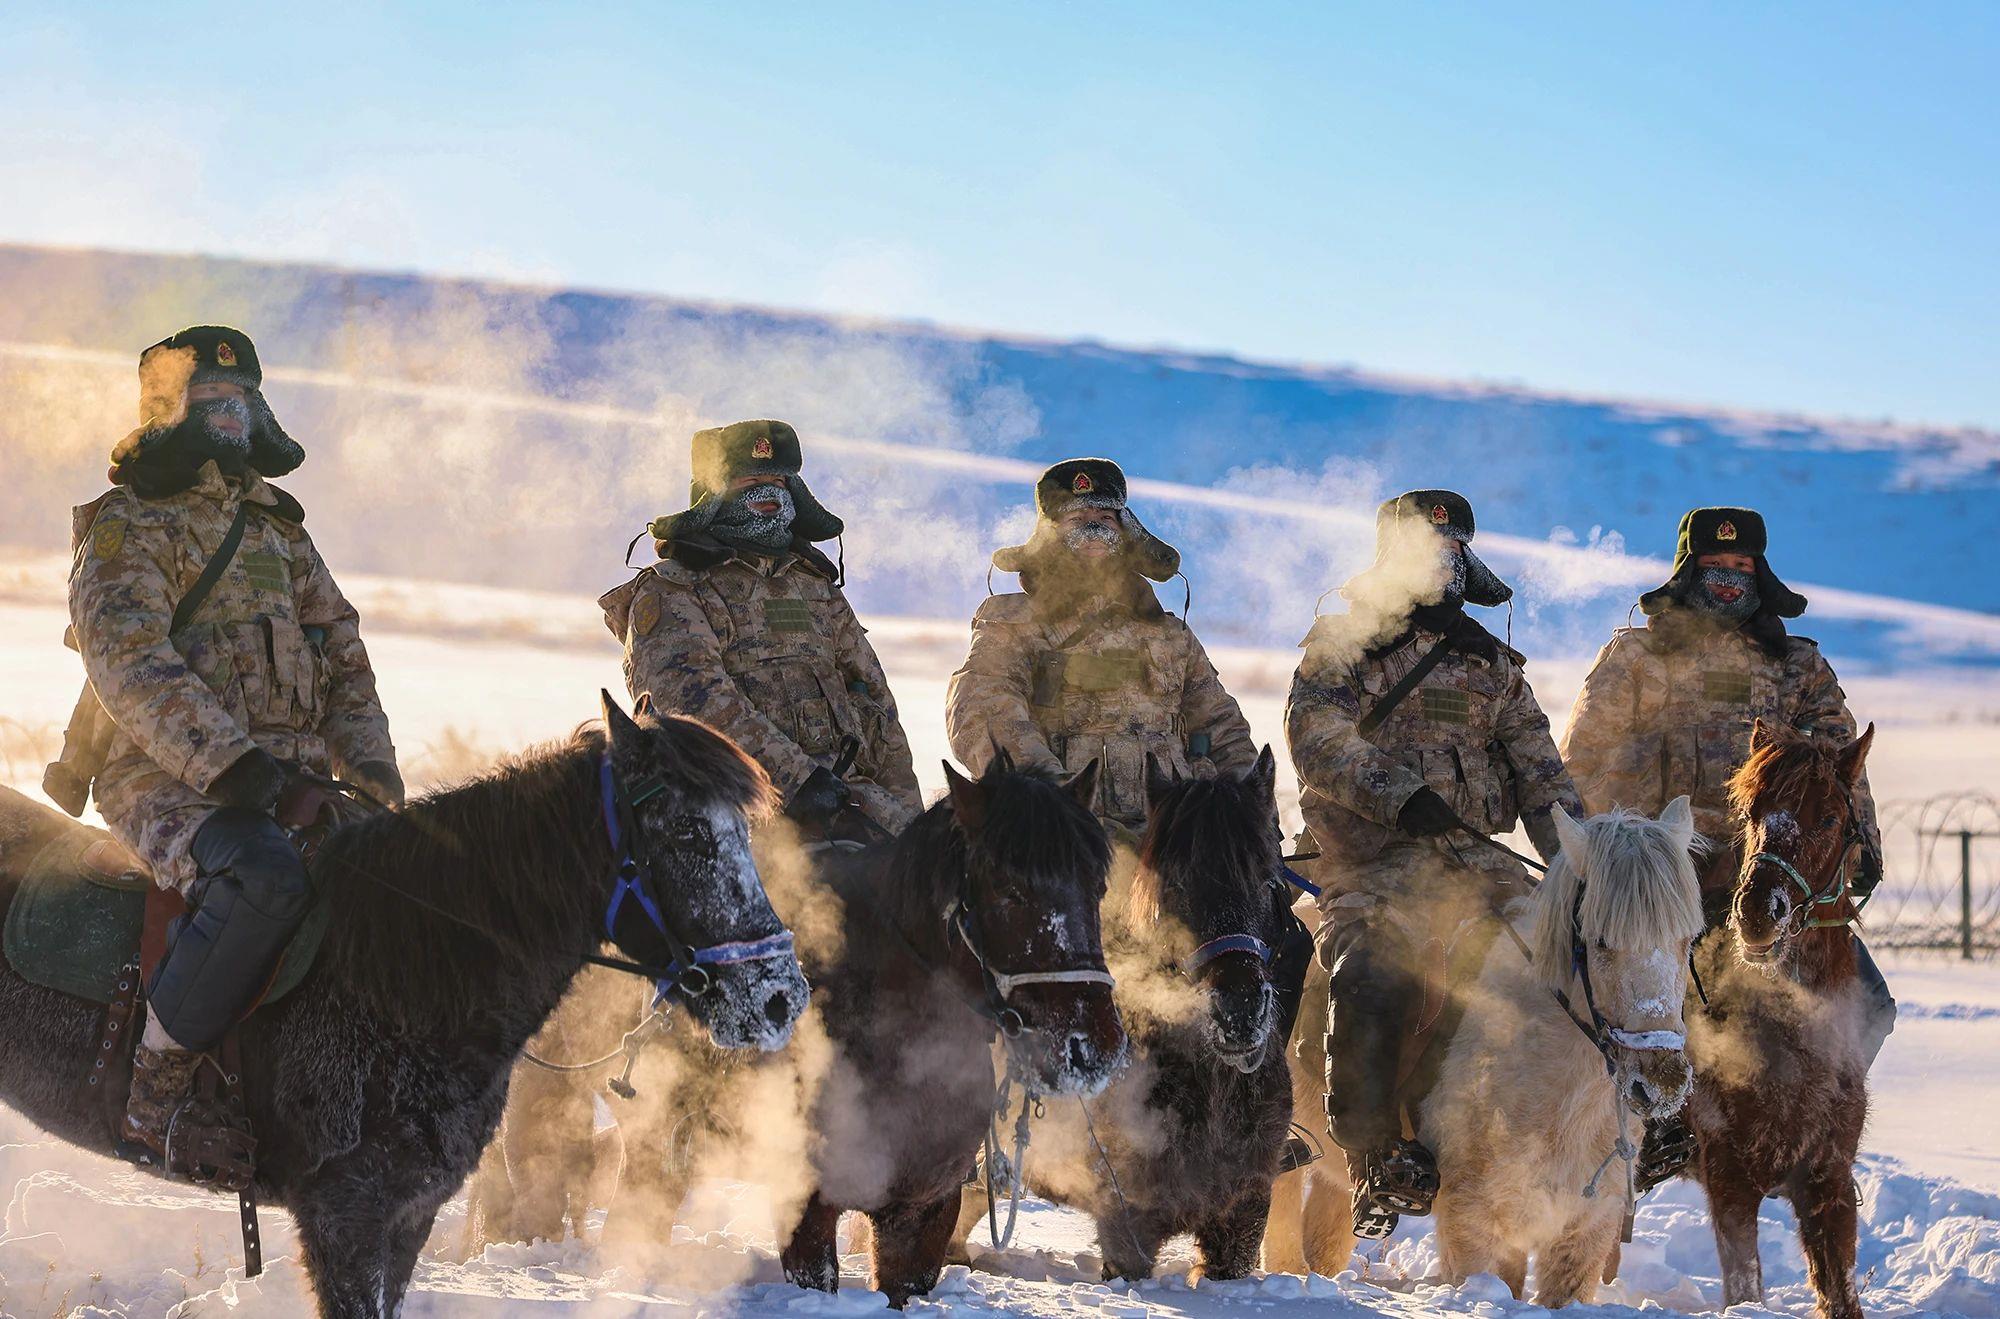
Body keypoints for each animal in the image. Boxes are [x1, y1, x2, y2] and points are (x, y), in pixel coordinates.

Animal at [1688, 719, 1872, 1319]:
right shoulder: (1730, 1183)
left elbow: (1841, 1293)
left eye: (1831, 818)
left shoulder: (1827, 1183)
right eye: (1751, 812)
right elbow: (1745, 1286)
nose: (1756, 913)